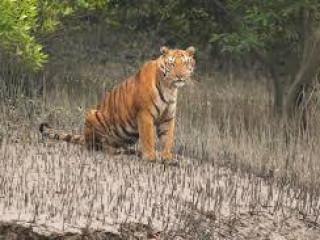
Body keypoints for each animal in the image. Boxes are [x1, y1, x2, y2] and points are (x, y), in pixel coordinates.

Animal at [40, 46, 195, 164]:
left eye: (185, 64)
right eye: (172, 64)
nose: (180, 76)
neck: (170, 87)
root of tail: (84, 135)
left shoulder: (168, 117)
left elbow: (167, 138)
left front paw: (168, 158)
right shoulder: (145, 113)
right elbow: (148, 137)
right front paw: (150, 156)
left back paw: (131, 151)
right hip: (93, 115)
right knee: (97, 146)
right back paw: (117, 150)